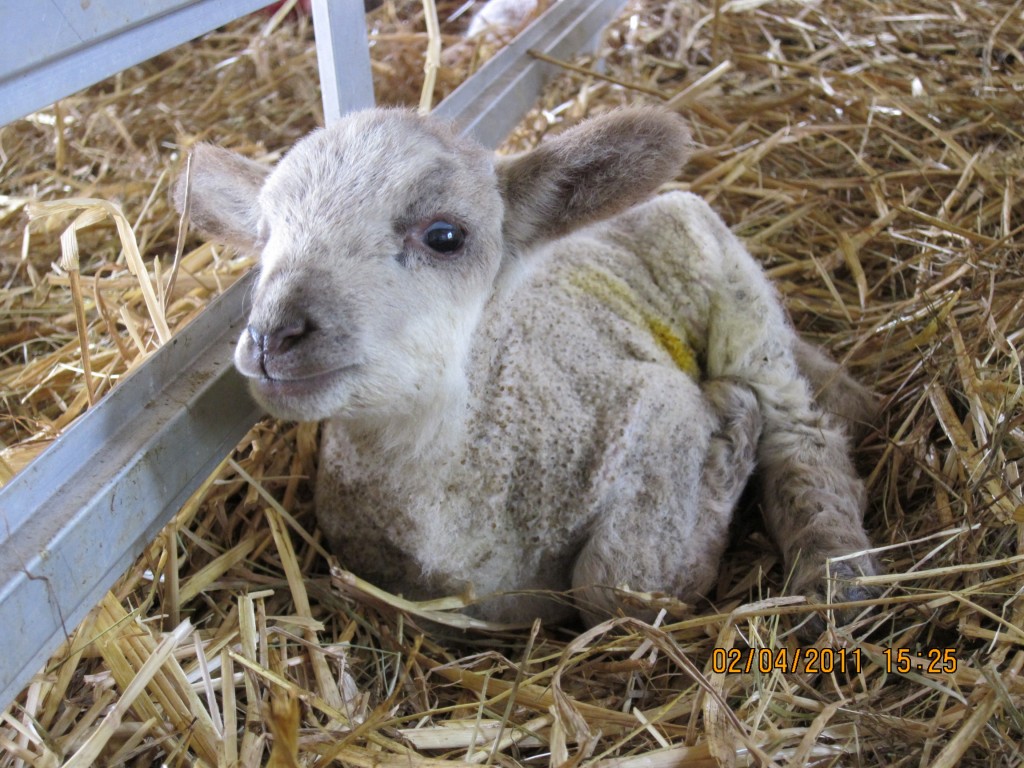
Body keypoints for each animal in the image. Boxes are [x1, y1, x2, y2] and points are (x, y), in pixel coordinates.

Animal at [178, 105, 880, 626]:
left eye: (445, 236)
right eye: (264, 236)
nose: (273, 334)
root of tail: (655, 201)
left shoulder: (660, 409)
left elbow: (612, 586)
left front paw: (729, 442)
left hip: (735, 295)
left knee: (800, 429)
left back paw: (837, 572)